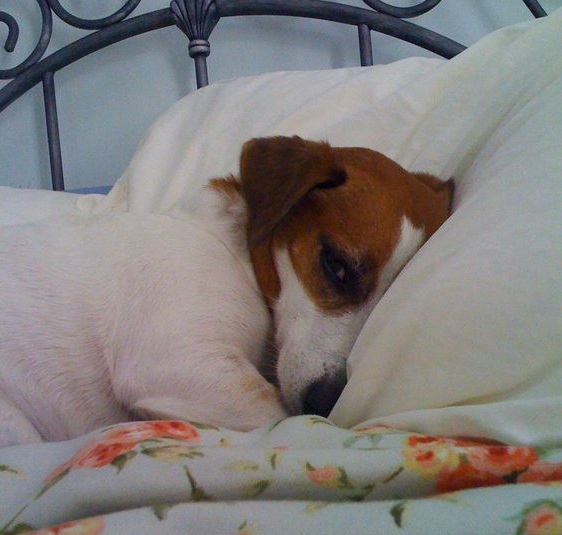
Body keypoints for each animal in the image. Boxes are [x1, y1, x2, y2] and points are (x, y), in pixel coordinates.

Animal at [0, 136, 450, 446]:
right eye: (335, 265)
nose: (326, 401)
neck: (235, 254)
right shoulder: (174, 359)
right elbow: (277, 413)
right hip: (16, 425)